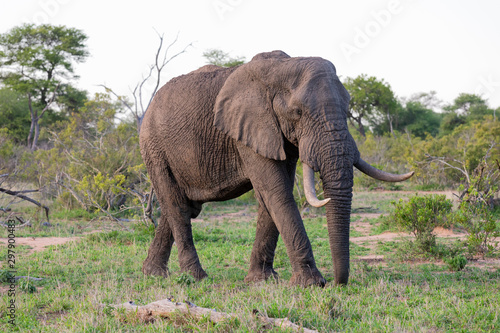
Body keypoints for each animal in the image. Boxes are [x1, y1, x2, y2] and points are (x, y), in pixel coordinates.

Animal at [139, 50, 412, 286]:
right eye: (297, 112)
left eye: (347, 110)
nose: (338, 283)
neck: (281, 68)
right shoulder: (250, 129)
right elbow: (277, 192)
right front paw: (312, 284)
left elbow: (272, 196)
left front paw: (262, 280)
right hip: (154, 147)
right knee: (176, 205)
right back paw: (196, 278)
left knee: (184, 206)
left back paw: (153, 274)